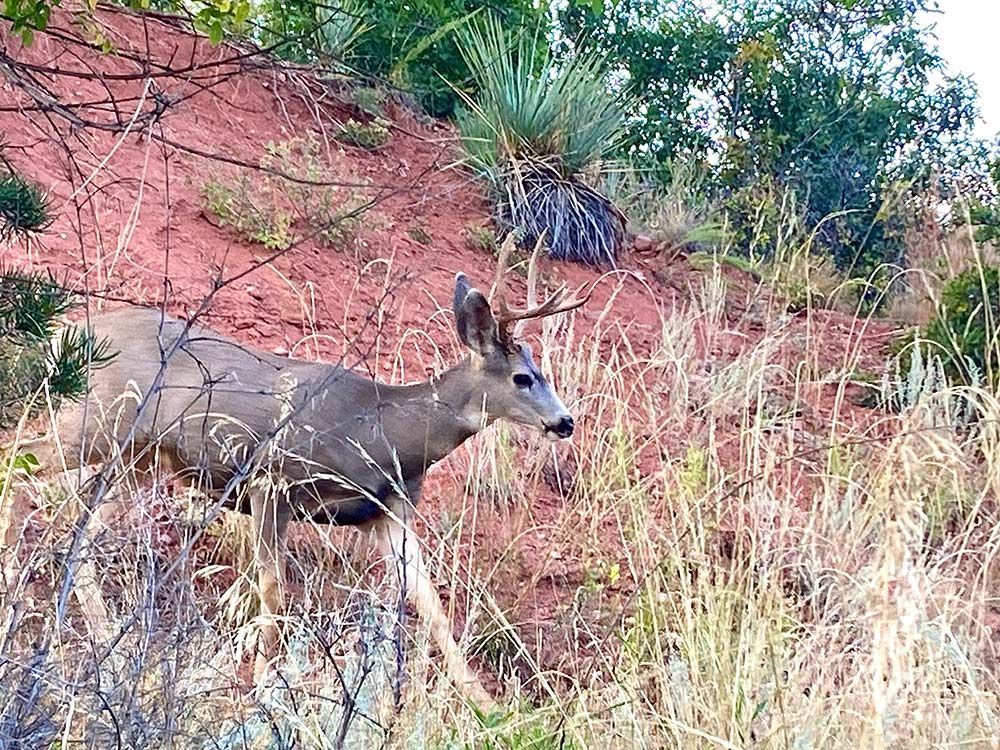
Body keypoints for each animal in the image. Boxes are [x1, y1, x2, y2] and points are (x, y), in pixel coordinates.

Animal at [24, 235, 588, 707]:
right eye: (522, 377)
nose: (565, 422)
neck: (383, 432)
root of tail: (63, 332)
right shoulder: (272, 481)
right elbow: (273, 588)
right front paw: (264, 682)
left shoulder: (386, 513)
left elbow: (431, 605)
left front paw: (486, 705)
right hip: (92, 421)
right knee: (23, 458)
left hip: (136, 457)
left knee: (81, 526)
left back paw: (104, 640)